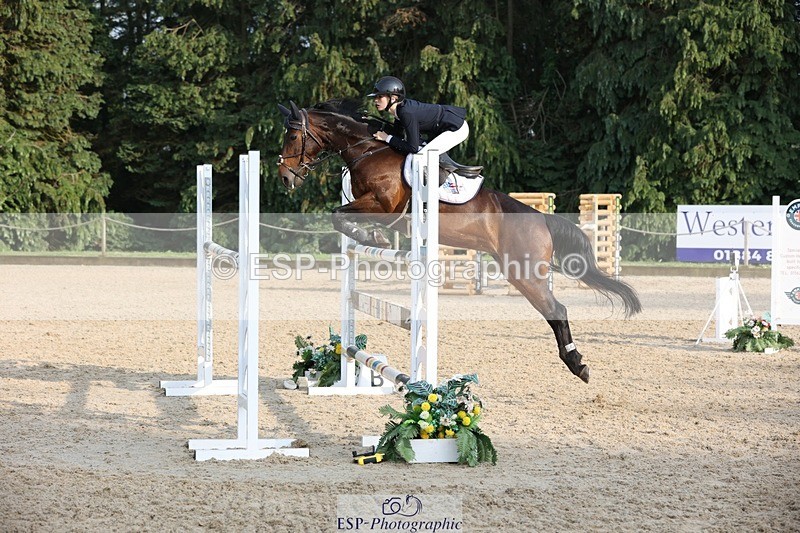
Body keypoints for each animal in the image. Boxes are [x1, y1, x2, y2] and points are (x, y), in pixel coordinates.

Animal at [276, 98, 642, 383]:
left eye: (292, 135)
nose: (285, 178)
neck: (367, 150)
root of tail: (541, 220)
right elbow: (340, 215)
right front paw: (371, 236)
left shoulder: (382, 205)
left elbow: (338, 215)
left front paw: (372, 235)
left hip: (524, 273)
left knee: (557, 310)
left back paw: (577, 364)